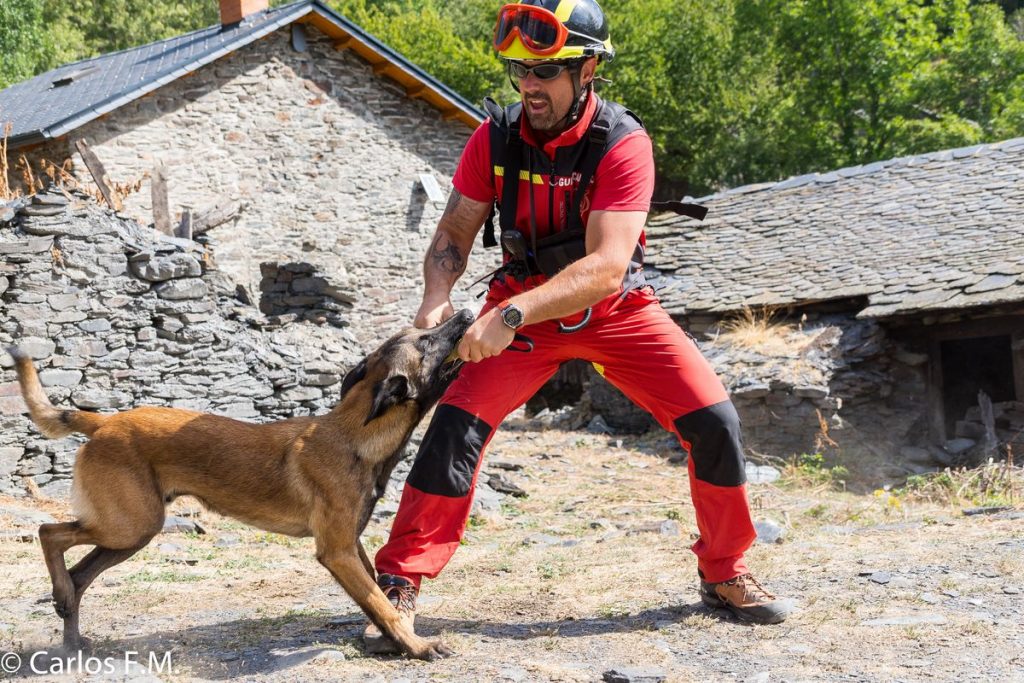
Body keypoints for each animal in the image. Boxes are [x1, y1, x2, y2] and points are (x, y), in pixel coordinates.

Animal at [8, 307, 473, 659]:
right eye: (426, 342)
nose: (467, 313)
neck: (356, 434)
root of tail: (103, 421)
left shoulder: (350, 544)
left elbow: (376, 591)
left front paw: (394, 639)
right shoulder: (337, 552)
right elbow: (379, 601)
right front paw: (418, 646)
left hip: (131, 532)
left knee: (78, 574)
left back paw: (71, 635)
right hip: (129, 525)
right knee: (49, 532)